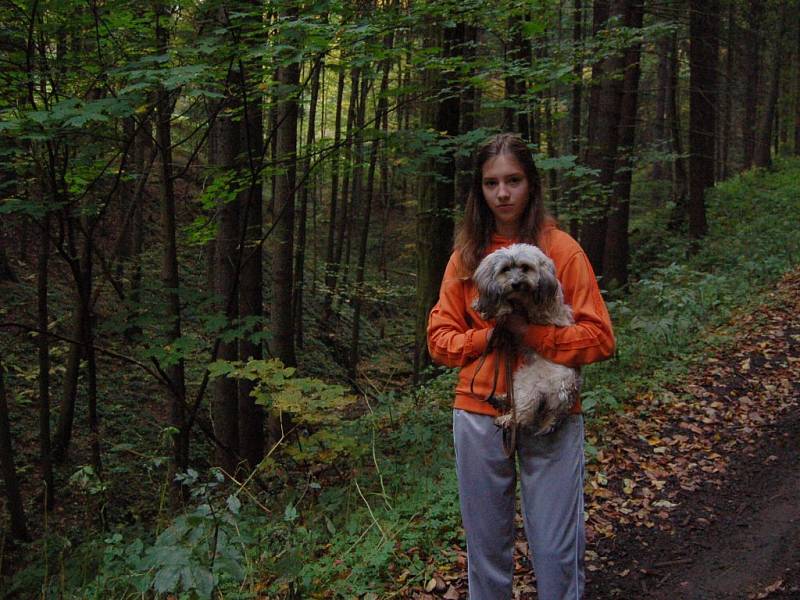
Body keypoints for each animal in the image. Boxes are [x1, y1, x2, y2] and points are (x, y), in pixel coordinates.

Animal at [472, 244, 580, 436]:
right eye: (505, 269)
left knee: (524, 415)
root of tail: (567, 392)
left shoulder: (534, 308)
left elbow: (507, 306)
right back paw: (500, 399)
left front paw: (497, 308)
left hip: (527, 383)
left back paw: (506, 419)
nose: (516, 284)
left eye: (525, 267)